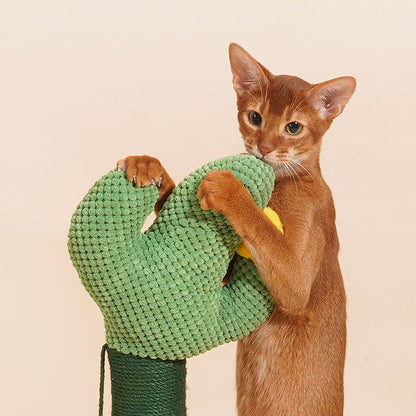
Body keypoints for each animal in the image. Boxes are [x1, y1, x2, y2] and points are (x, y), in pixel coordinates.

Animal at [117, 43, 354, 416]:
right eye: (255, 117)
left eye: (294, 127)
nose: (264, 148)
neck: (286, 181)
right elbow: (173, 193)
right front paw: (147, 165)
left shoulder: (297, 282)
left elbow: (262, 226)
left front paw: (230, 189)